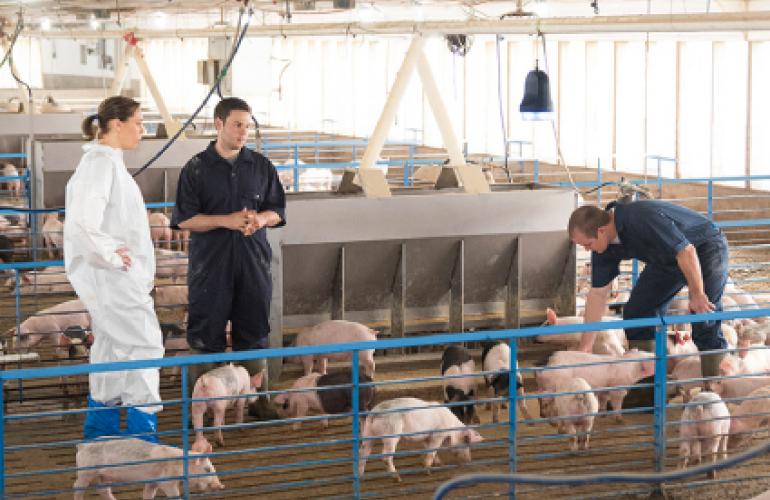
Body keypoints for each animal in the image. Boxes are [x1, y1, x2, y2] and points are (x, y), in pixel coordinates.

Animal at [72, 436, 224, 498]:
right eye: (207, 469)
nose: (220, 486)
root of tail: (82, 445)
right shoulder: (167, 481)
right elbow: (174, 495)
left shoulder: (153, 481)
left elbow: (148, 494)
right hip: (85, 472)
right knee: (77, 487)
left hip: (103, 475)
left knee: (103, 490)